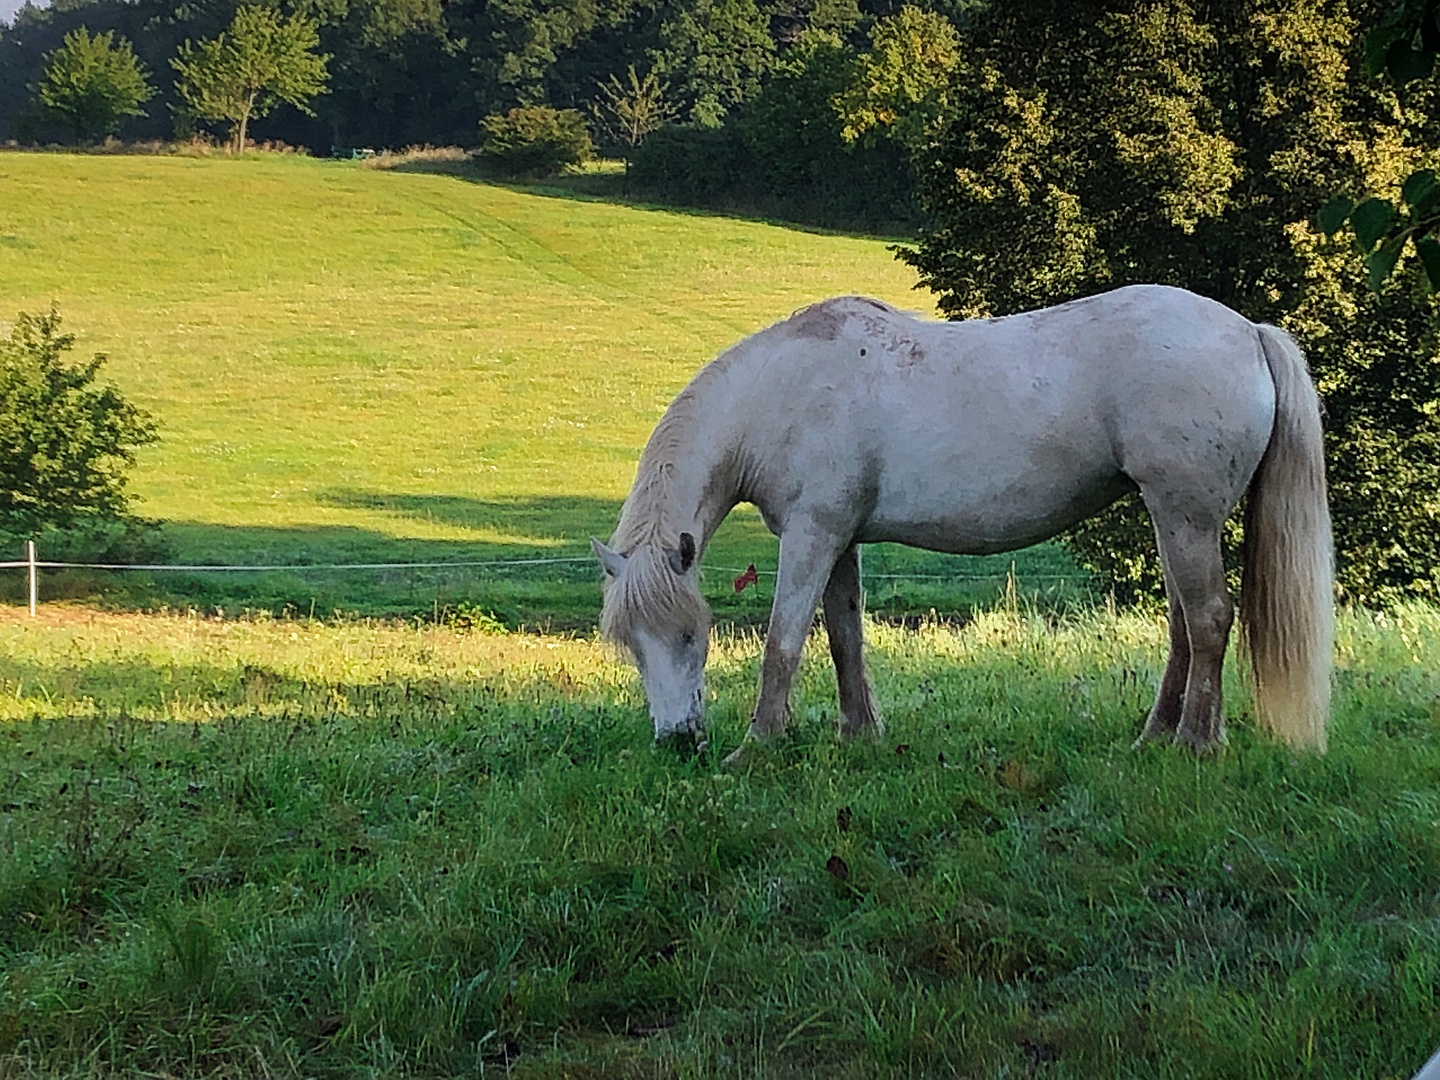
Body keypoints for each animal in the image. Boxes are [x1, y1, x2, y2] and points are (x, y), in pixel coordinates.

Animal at [590, 288, 1330, 760]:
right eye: (631, 644)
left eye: (692, 635)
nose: (677, 741)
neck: (782, 393)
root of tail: (1249, 333)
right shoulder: (840, 539)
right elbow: (844, 639)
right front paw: (859, 735)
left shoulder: (810, 534)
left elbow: (784, 642)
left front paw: (757, 745)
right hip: (1172, 520)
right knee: (1185, 627)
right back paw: (1152, 739)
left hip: (1186, 516)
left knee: (1209, 621)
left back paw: (1195, 744)